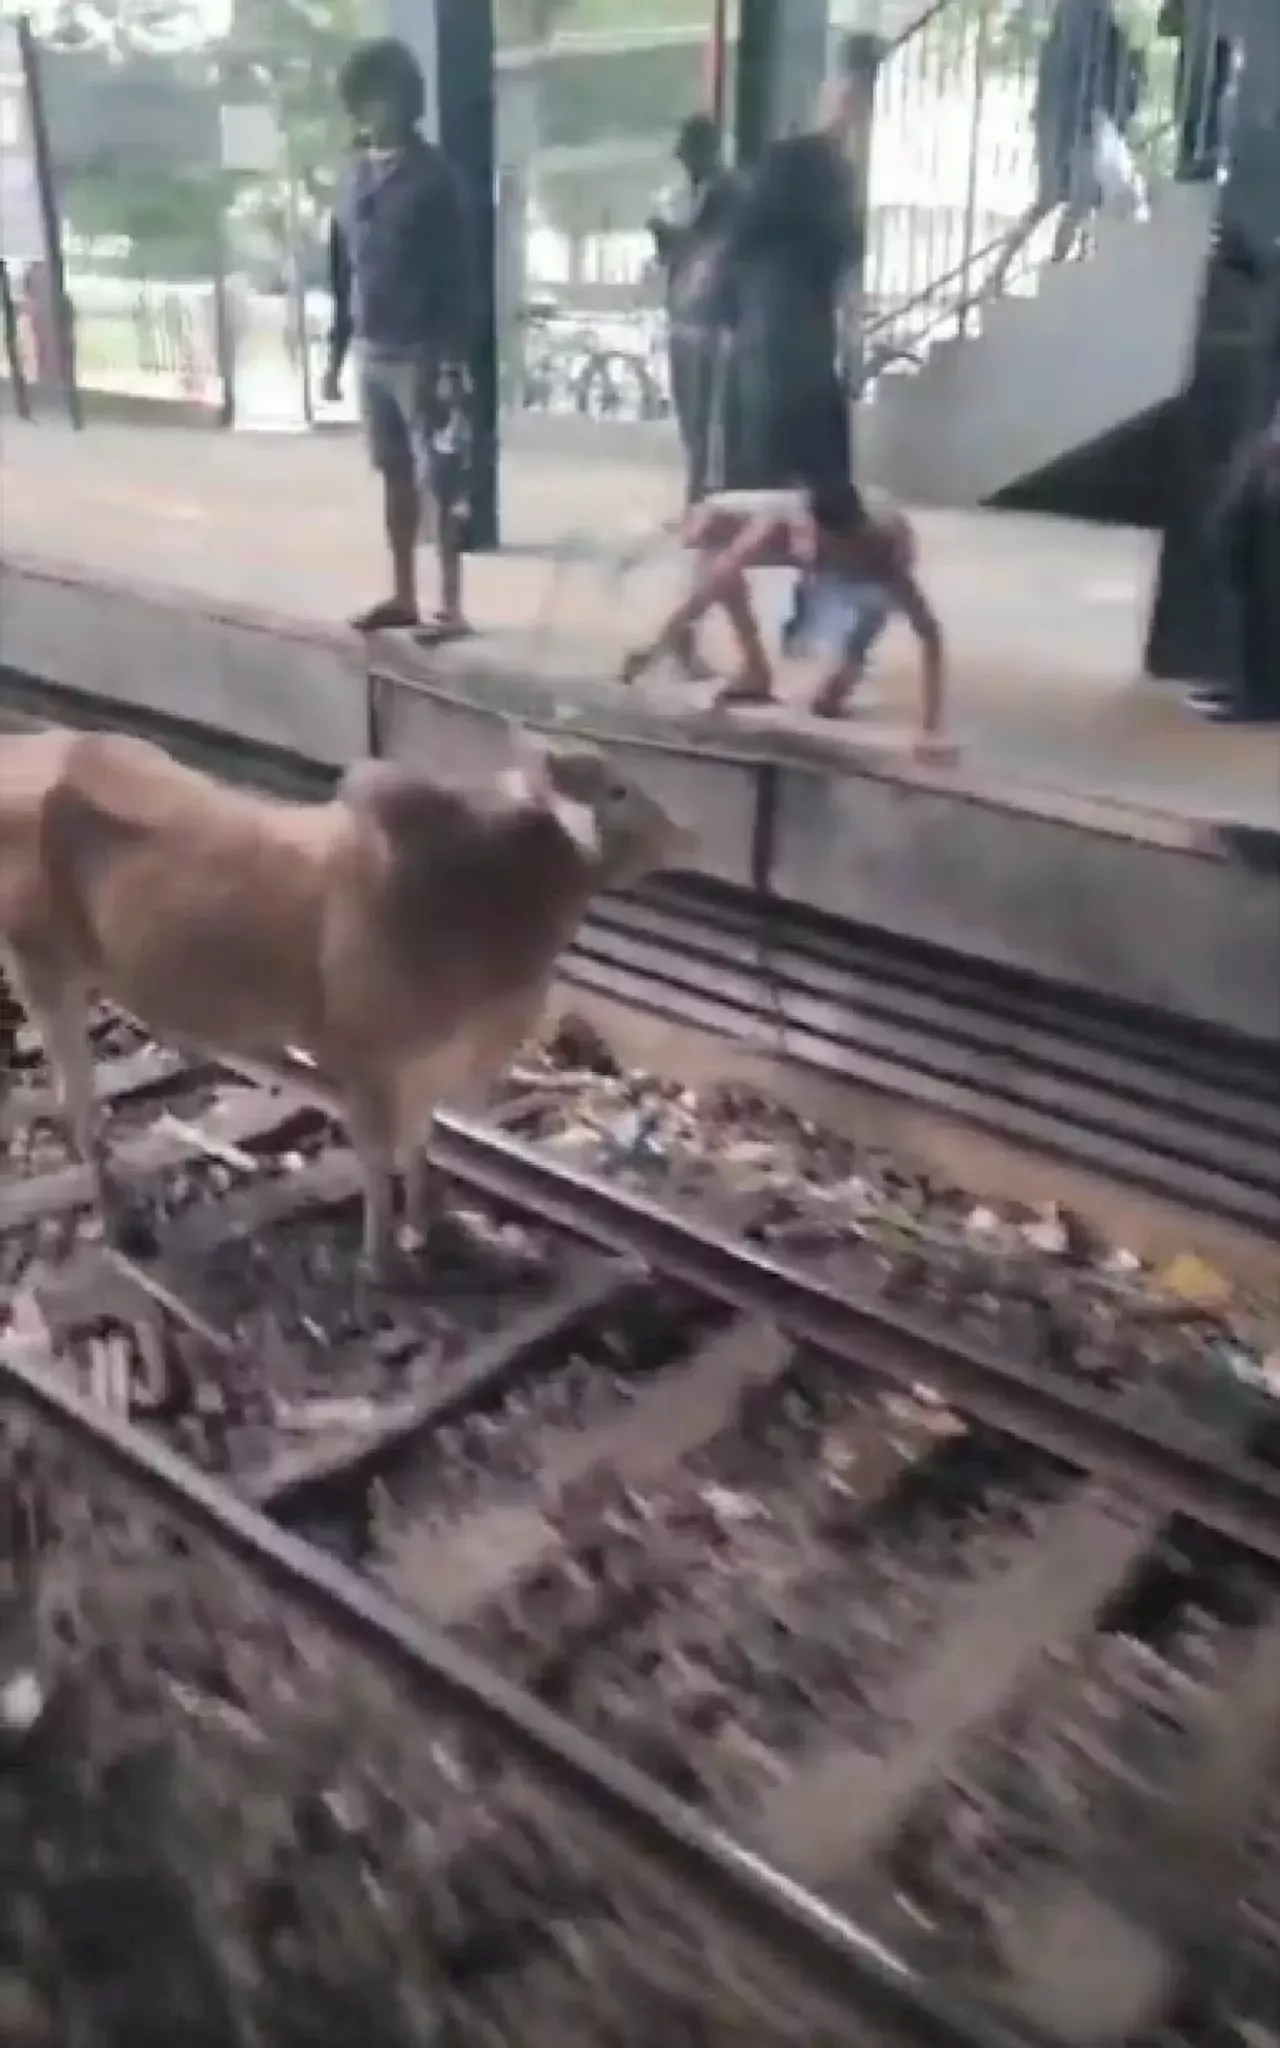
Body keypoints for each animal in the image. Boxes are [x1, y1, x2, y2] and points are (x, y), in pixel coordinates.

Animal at [0, 720, 688, 1261]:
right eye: (616, 789)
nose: (685, 836)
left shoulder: (431, 1068)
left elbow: (419, 1146)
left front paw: (424, 1227)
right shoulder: (369, 1068)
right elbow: (378, 1159)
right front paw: (380, 1258)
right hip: (42, 970)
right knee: (77, 1102)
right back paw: (117, 1221)